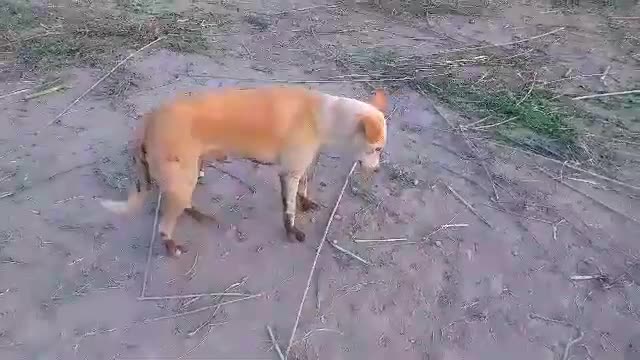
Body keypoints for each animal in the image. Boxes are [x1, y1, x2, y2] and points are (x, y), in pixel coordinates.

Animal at [99, 86, 388, 258]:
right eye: (376, 149)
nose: (377, 170)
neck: (324, 115)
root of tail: (150, 117)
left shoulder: (302, 168)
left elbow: (304, 190)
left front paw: (305, 202)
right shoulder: (288, 173)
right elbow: (288, 211)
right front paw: (292, 230)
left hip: (188, 175)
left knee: (184, 204)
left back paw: (200, 215)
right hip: (183, 180)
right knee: (165, 223)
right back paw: (171, 245)